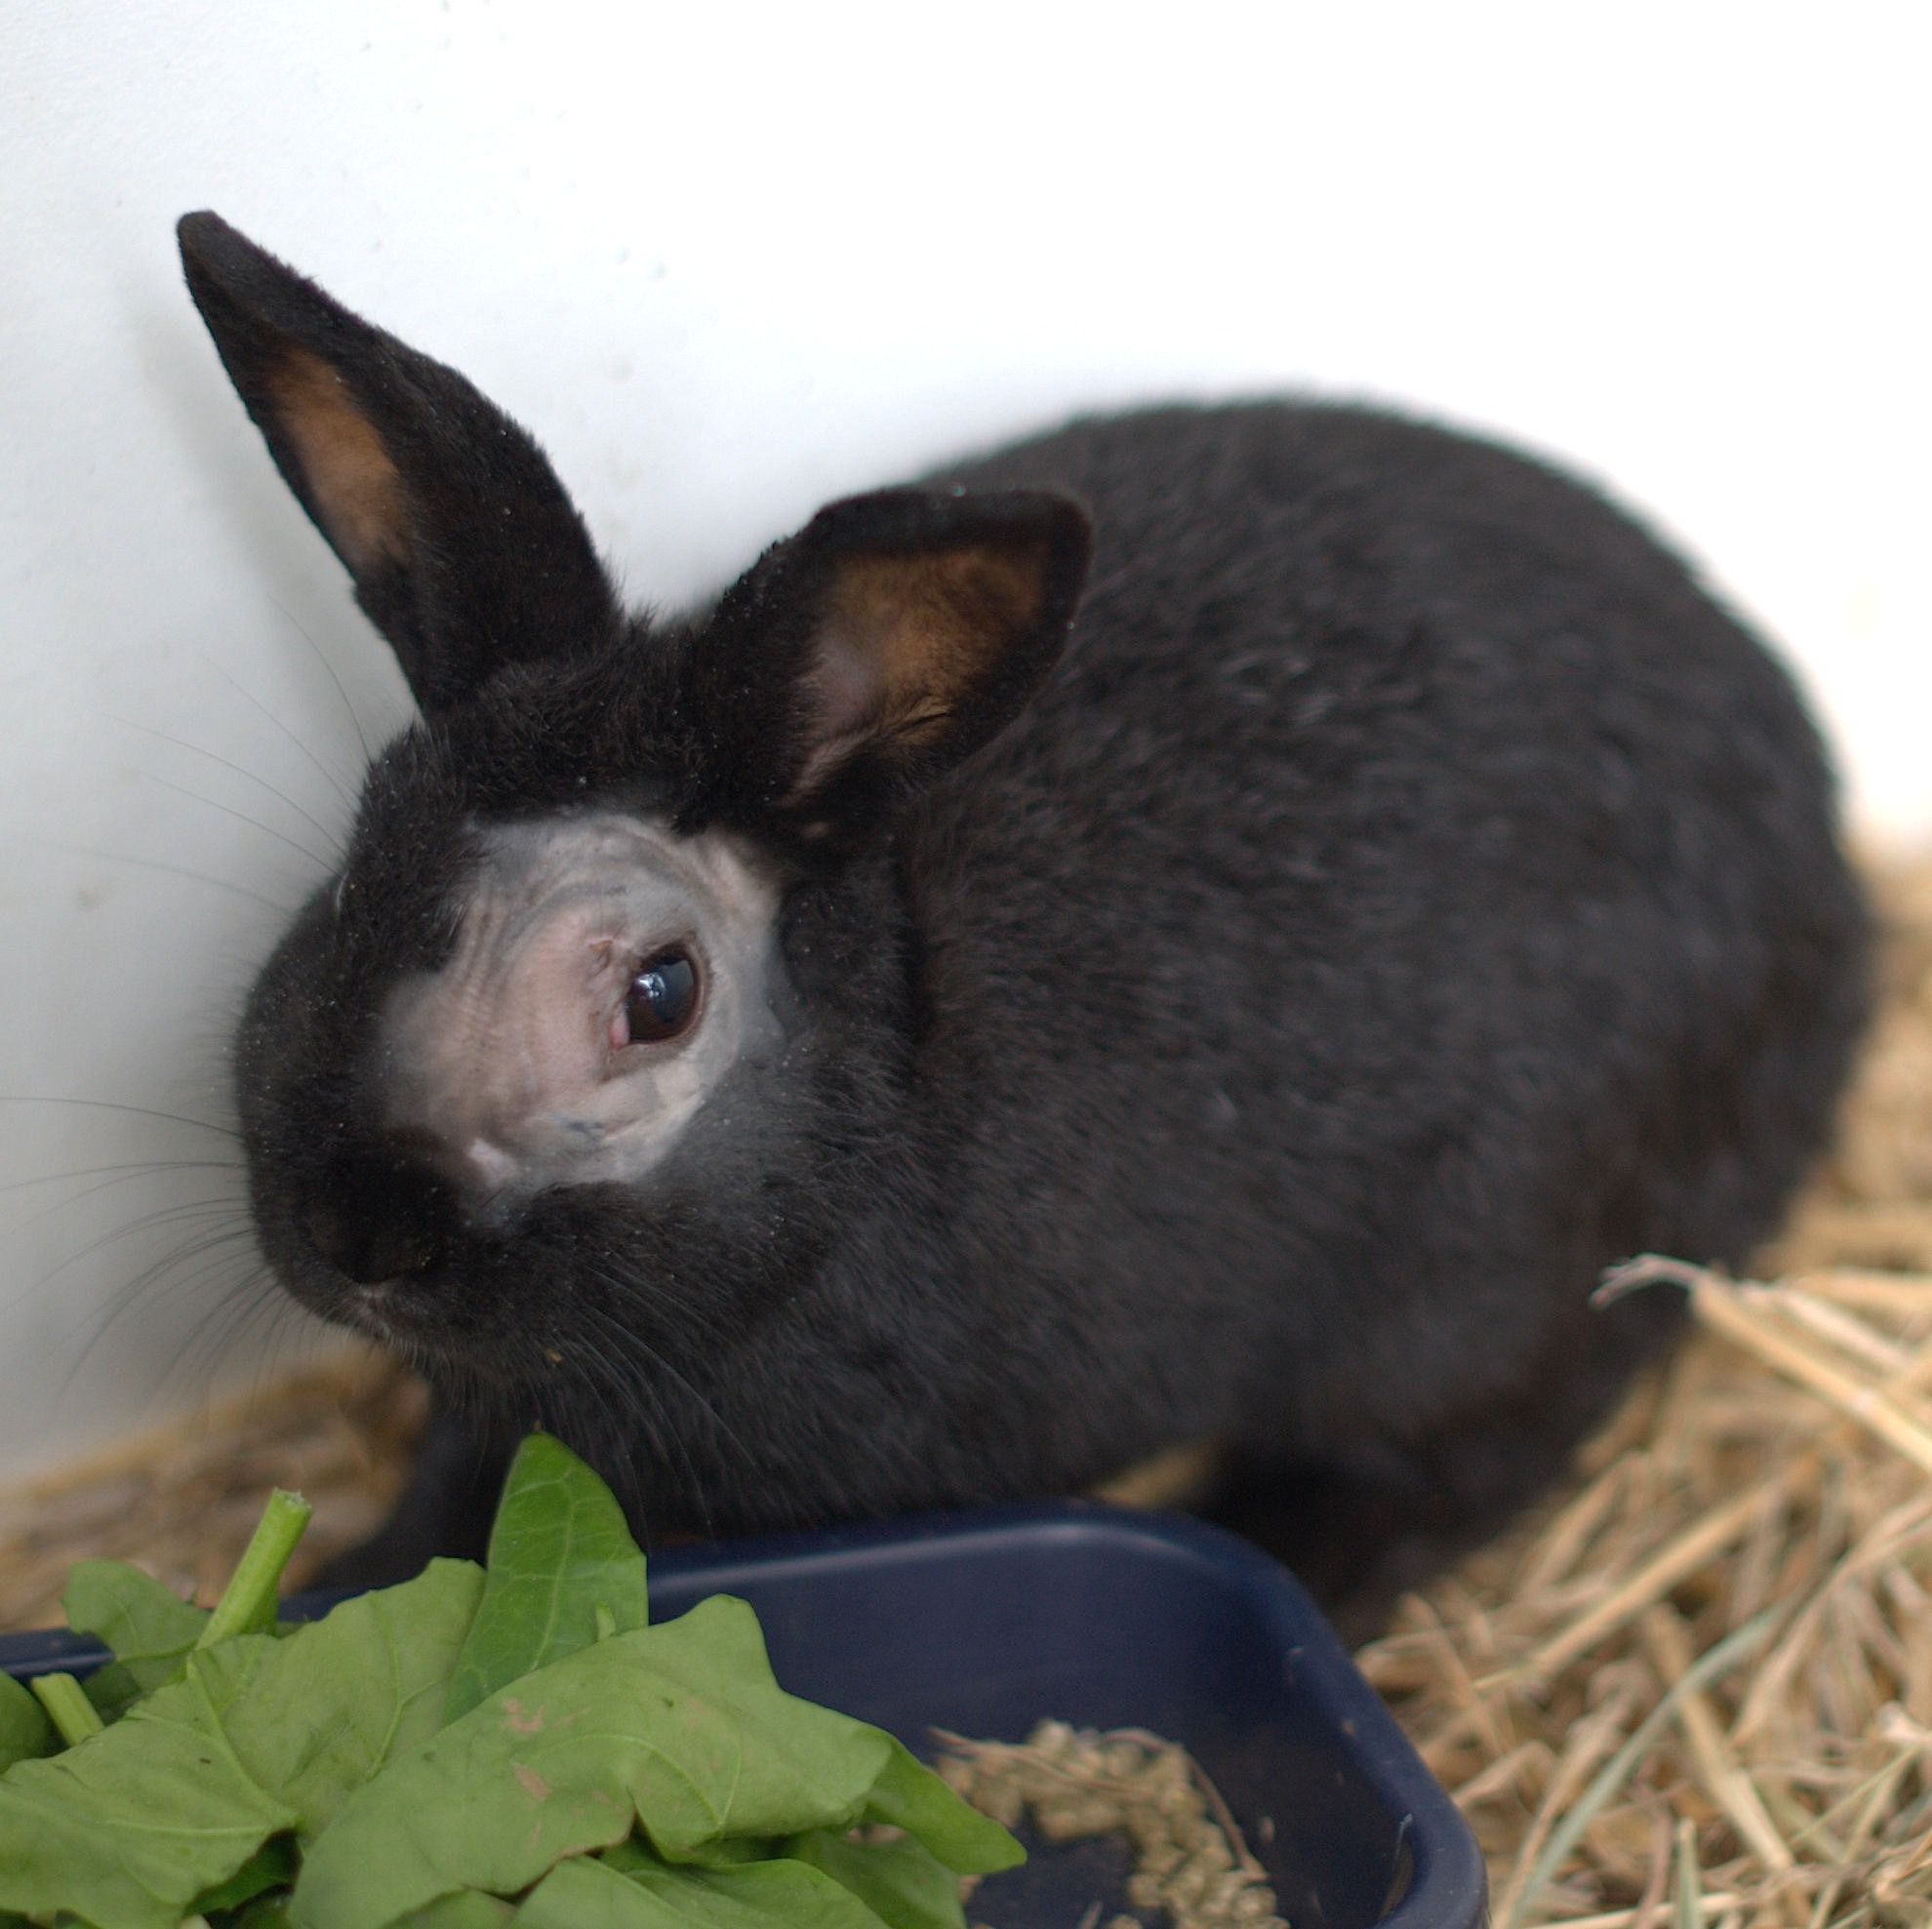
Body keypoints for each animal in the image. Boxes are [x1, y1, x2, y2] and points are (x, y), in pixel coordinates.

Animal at [176, 210, 1870, 1633]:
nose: (362, 1235)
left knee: (1450, 1460)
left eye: (657, 995)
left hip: (1485, 1282)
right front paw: (322, 1590)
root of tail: (1828, 874)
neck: (889, 1078)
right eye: (354, 864)